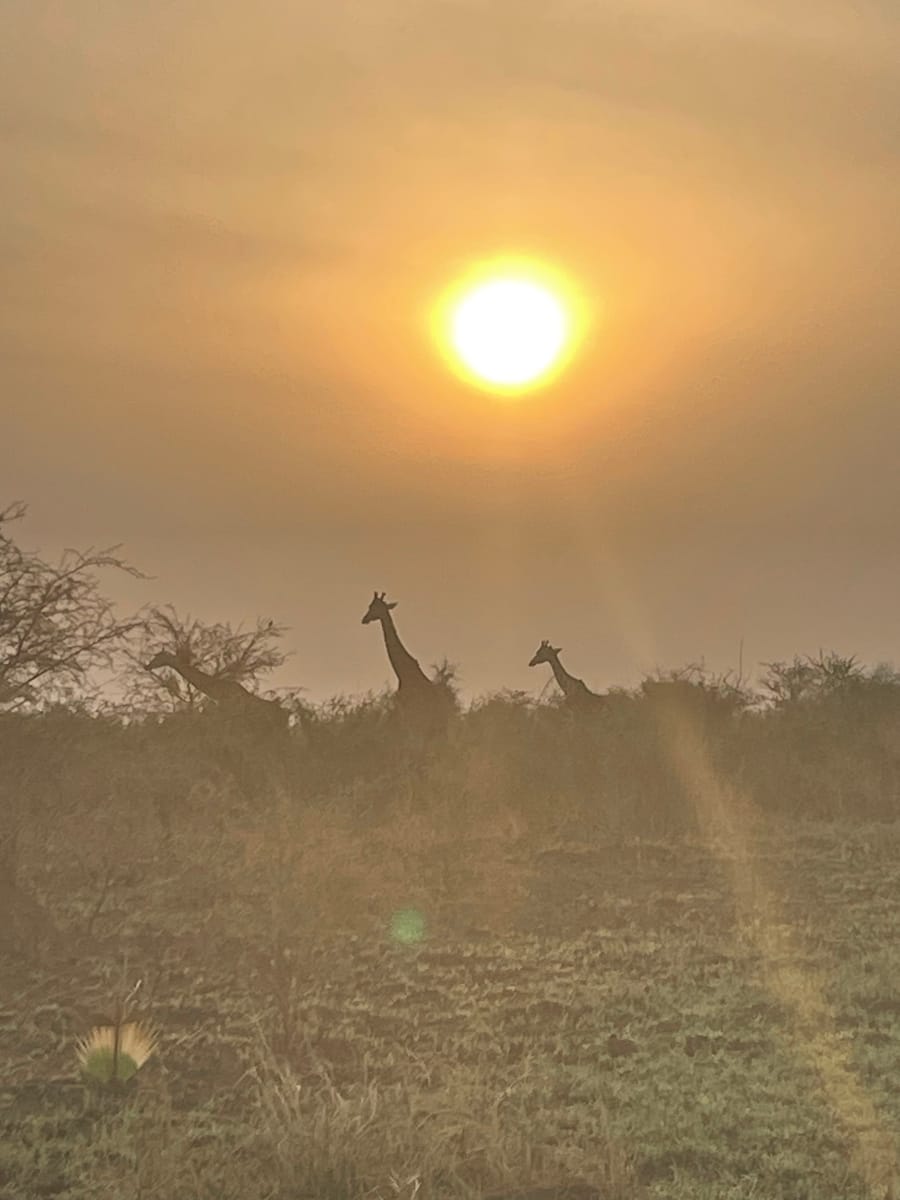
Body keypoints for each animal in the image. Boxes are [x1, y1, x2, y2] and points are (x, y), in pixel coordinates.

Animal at [361, 592, 455, 731]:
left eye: (374, 607)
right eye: (370, 605)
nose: (364, 619)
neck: (402, 673)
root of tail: (449, 712)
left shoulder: (407, 717)